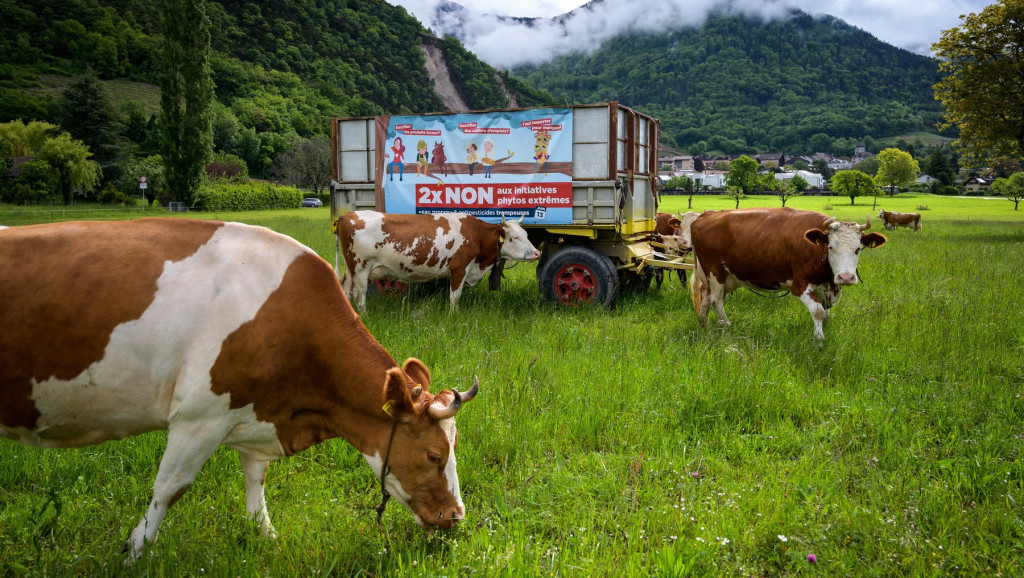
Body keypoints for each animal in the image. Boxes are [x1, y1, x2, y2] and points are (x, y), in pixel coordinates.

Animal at [0, 218, 479, 561]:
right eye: (434, 456)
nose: (457, 517)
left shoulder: (254, 412)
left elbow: (256, 479)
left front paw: (265, 534)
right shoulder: (199, 418)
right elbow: (169, 487)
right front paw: (135, 551)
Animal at [337, 210, 544, 313]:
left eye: (526, 235)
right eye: (515, 237)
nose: (537, 253)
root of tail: (348, 215)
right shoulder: (459, 268)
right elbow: (455, 297)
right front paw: (454, 316)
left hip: (350, 270)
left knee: (345, 291)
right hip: (361, 268)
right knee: (359, 296)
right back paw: (364, 317)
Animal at [688, 208, 888, 340]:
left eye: (858, 249)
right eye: (831, 247)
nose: (845, 277)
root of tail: (706, 215)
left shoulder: (825, 286)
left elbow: (826, 313)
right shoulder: (799, 285)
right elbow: (818, 311)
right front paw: (819, 340)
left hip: (720, 276)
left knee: (706, 298)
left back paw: (704, 325)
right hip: (715, 271)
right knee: (716, 300)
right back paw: (726, 325)